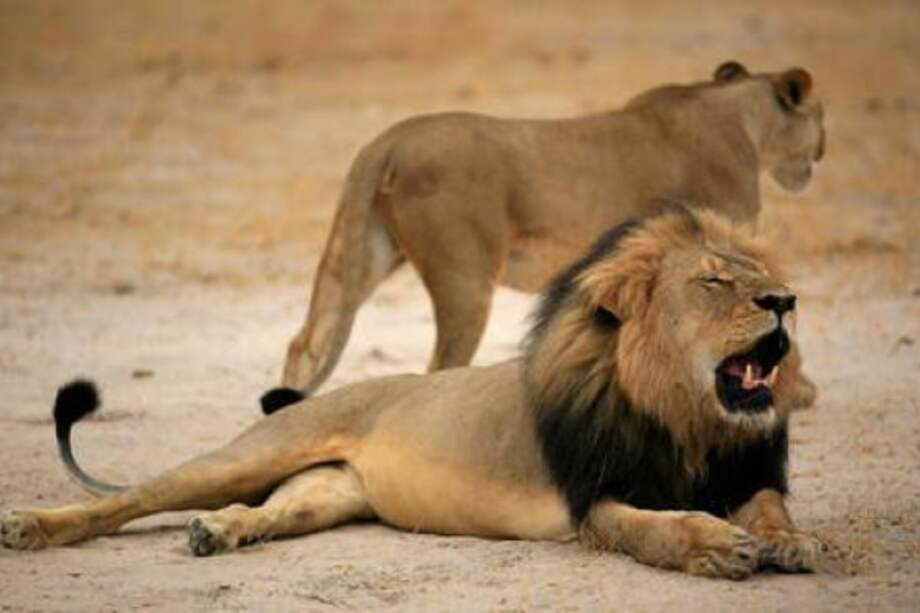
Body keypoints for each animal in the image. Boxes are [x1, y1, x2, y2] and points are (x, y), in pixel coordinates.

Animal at [0, 207, 828, 579]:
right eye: (715, 282)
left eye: (762, 277)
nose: (787, 300)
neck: (685, 417)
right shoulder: (595, 498)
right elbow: (656, 528)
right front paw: (716, 544)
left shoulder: (743, 470)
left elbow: (769, 505)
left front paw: (789, 541)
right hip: (248, 453)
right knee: (128, 498)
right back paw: (31, 526)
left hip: (325, 493)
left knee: (262, 510)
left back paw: (217, 532)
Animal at [277, 60, 825, 403]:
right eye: (819, 114)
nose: (822, 148)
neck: (740, 116)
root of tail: (386, 140)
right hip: (464, 279)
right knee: (439, 367)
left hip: (363, 253)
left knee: (307, 342)